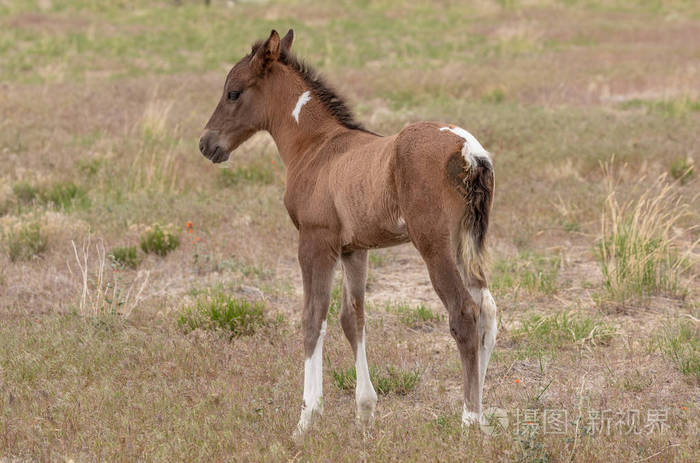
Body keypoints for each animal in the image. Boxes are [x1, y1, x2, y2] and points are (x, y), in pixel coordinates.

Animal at [198, 29, 498, 436]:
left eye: (233, 92)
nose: (206, 144)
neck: (317, 147)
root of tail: (469, 151)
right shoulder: (354, 249)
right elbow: (352, 319)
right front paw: (365, 412)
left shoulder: (315, 242)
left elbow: (313, 318)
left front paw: (306, 419)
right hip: (467, 244)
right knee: (488, 311)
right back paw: (481, 414)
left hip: (435, 246)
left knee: (464, 313)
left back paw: (469, 420)